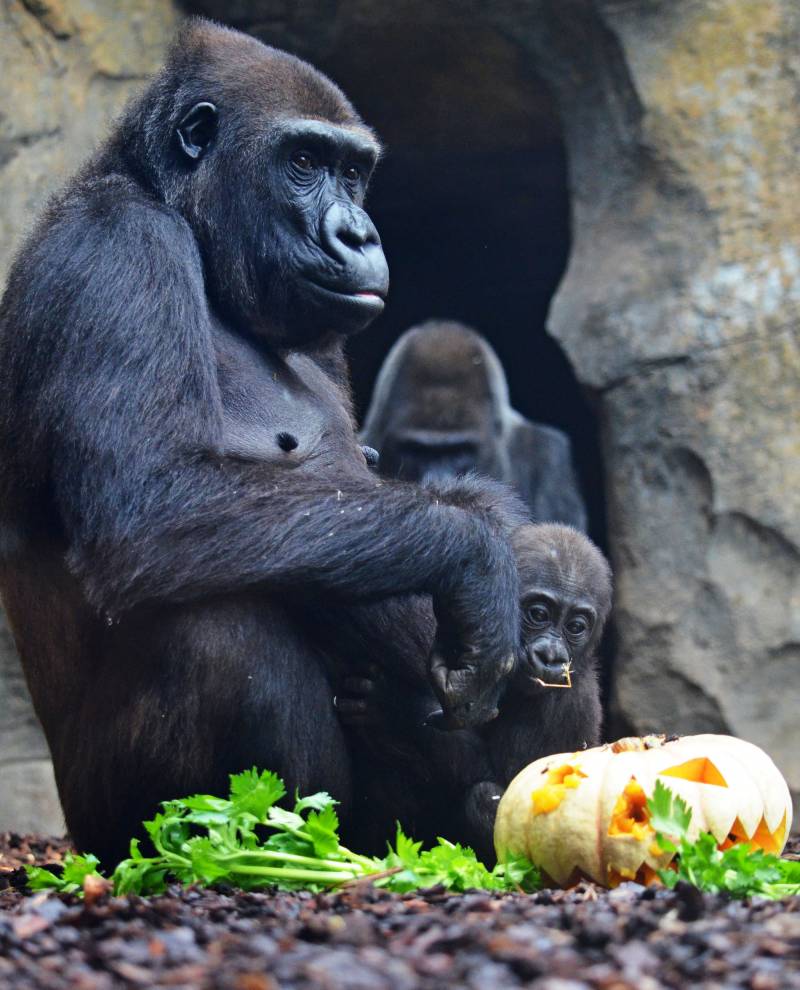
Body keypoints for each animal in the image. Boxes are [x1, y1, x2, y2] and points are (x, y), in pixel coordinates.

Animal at [0, 19, 520, 864]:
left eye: (353, 172)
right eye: (303, 162)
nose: (358, 232)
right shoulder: (115, 250)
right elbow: (152, 503)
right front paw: (474, 553)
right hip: (101, 825)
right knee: (216, 626)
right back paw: (252, 847)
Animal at [334, 528, 608, 860]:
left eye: (576, 627)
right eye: (538, 614)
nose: (552, 657)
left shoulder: (558, 701)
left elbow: (512, 782)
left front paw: (395, 711)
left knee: (484, 797)